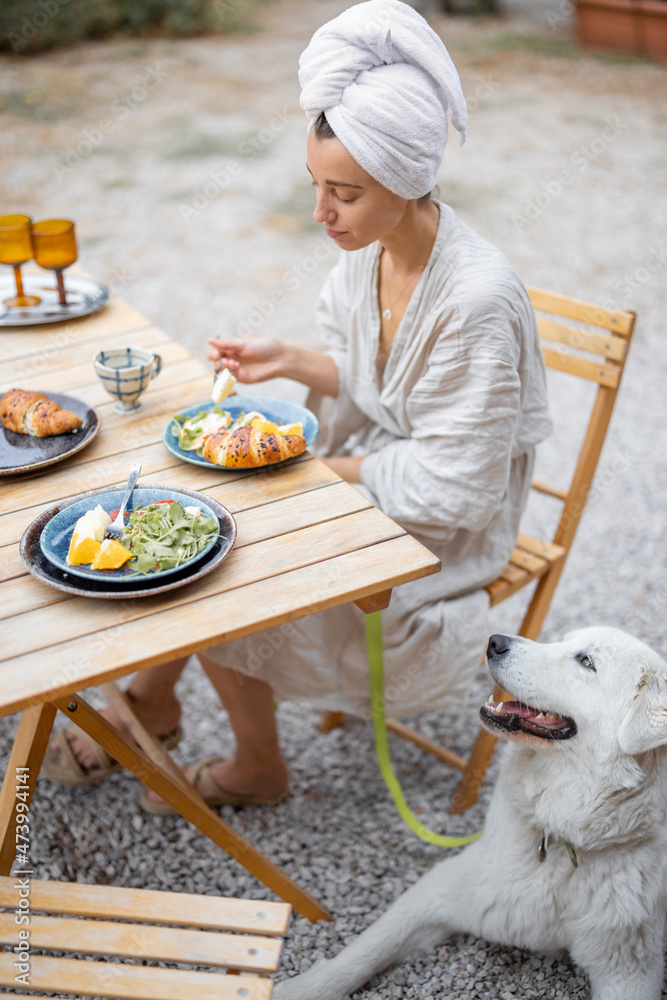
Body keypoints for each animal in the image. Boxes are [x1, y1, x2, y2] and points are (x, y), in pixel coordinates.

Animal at [276, 628, 667, 996]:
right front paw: (302, 988)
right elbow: (367, 949)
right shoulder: (447, 889)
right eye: (562, 640)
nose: (495, 642)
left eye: (586, 662)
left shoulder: (628, 970)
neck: (560, 835)